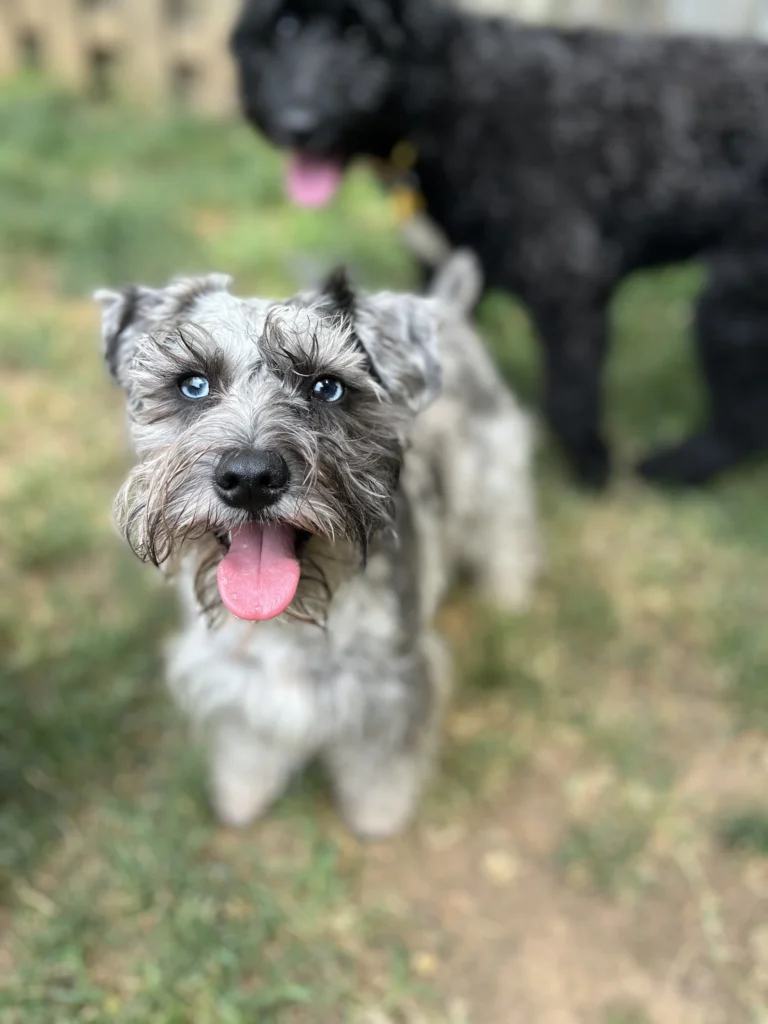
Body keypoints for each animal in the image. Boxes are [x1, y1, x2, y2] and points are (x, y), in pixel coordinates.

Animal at [231, 1, 768, 487]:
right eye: (284, 27)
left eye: (362, 36)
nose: (298, 122)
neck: (453, 100)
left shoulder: (568, 278)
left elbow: (571, 396)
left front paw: (593, 468)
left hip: (732, 300)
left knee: (741, 415)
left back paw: (679, 468)